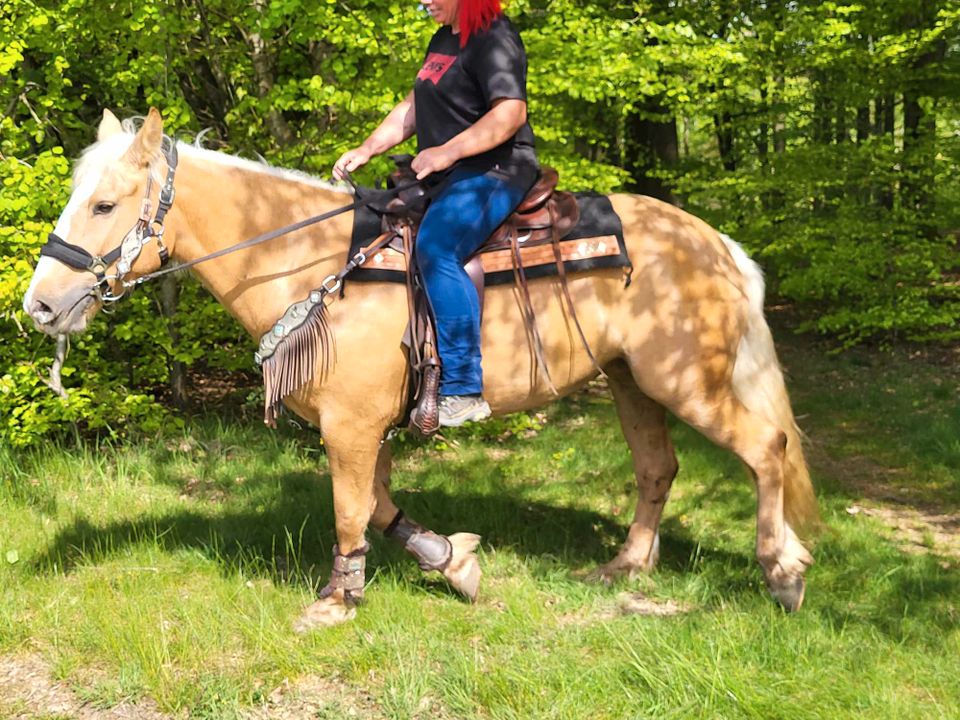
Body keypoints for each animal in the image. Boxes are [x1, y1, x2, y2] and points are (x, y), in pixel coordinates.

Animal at [22, 109, 816, 628]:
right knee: (658, 468)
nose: (39, 306)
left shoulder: (349, 426)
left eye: (104, 204)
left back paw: (782, 573)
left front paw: (336, 602)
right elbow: (377, 505)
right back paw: (625, 567)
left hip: (686, 381)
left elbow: (350, 510)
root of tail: (716, 243)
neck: (315, 262)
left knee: (765, 448)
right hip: (631, 380)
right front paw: (452, 563)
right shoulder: (363, 427)